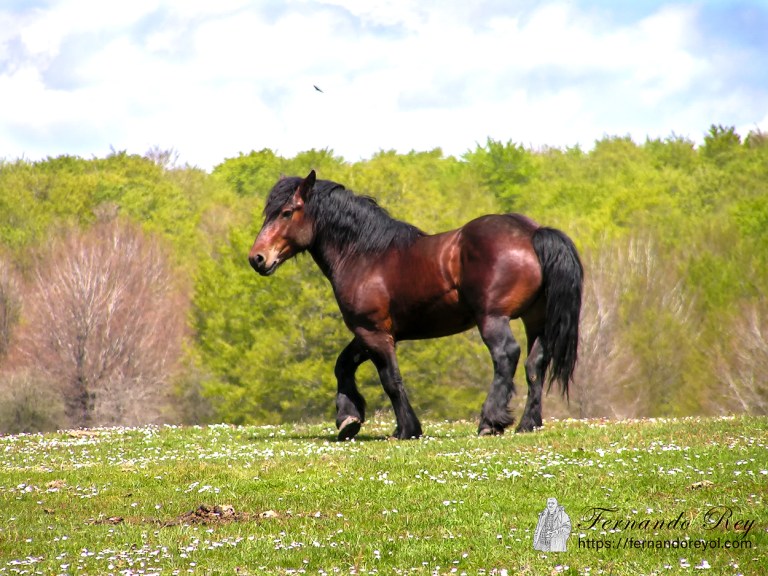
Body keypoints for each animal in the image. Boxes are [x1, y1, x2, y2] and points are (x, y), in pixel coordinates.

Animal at [249, 170, 583, 440]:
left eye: (286, 212)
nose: (257, 258)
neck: (365, 255)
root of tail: (532, 233)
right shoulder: (369, 333)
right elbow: (343, 365)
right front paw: (348, 419)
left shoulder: (374, 333)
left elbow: (391, 379)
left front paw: (407, 429)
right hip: (535, 319)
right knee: (535, 363)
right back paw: (528, 423)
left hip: (493, 318)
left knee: (506, 356)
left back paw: (490, 421)